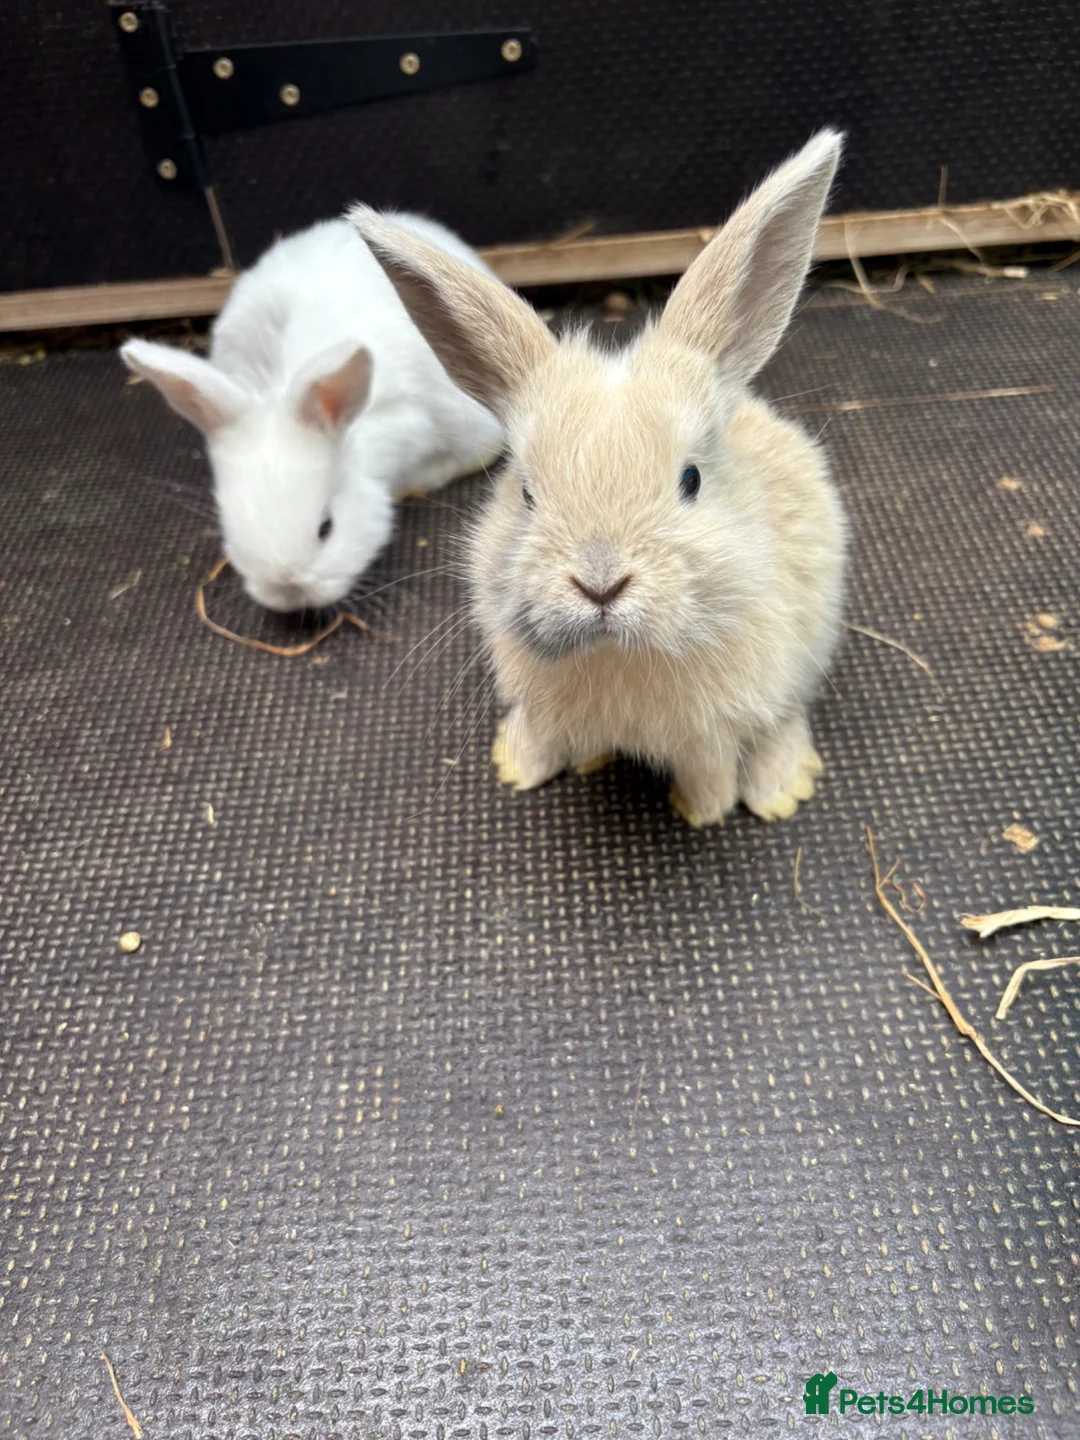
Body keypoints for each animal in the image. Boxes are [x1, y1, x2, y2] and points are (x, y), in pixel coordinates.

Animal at [349, 131, 846, 826]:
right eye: (526, 492)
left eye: (691, 480)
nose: (600, 584)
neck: (617, 653)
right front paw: (540, 767)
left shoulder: (710, 735)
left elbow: (712, 774)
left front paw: (702, 813)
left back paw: (781, 790)